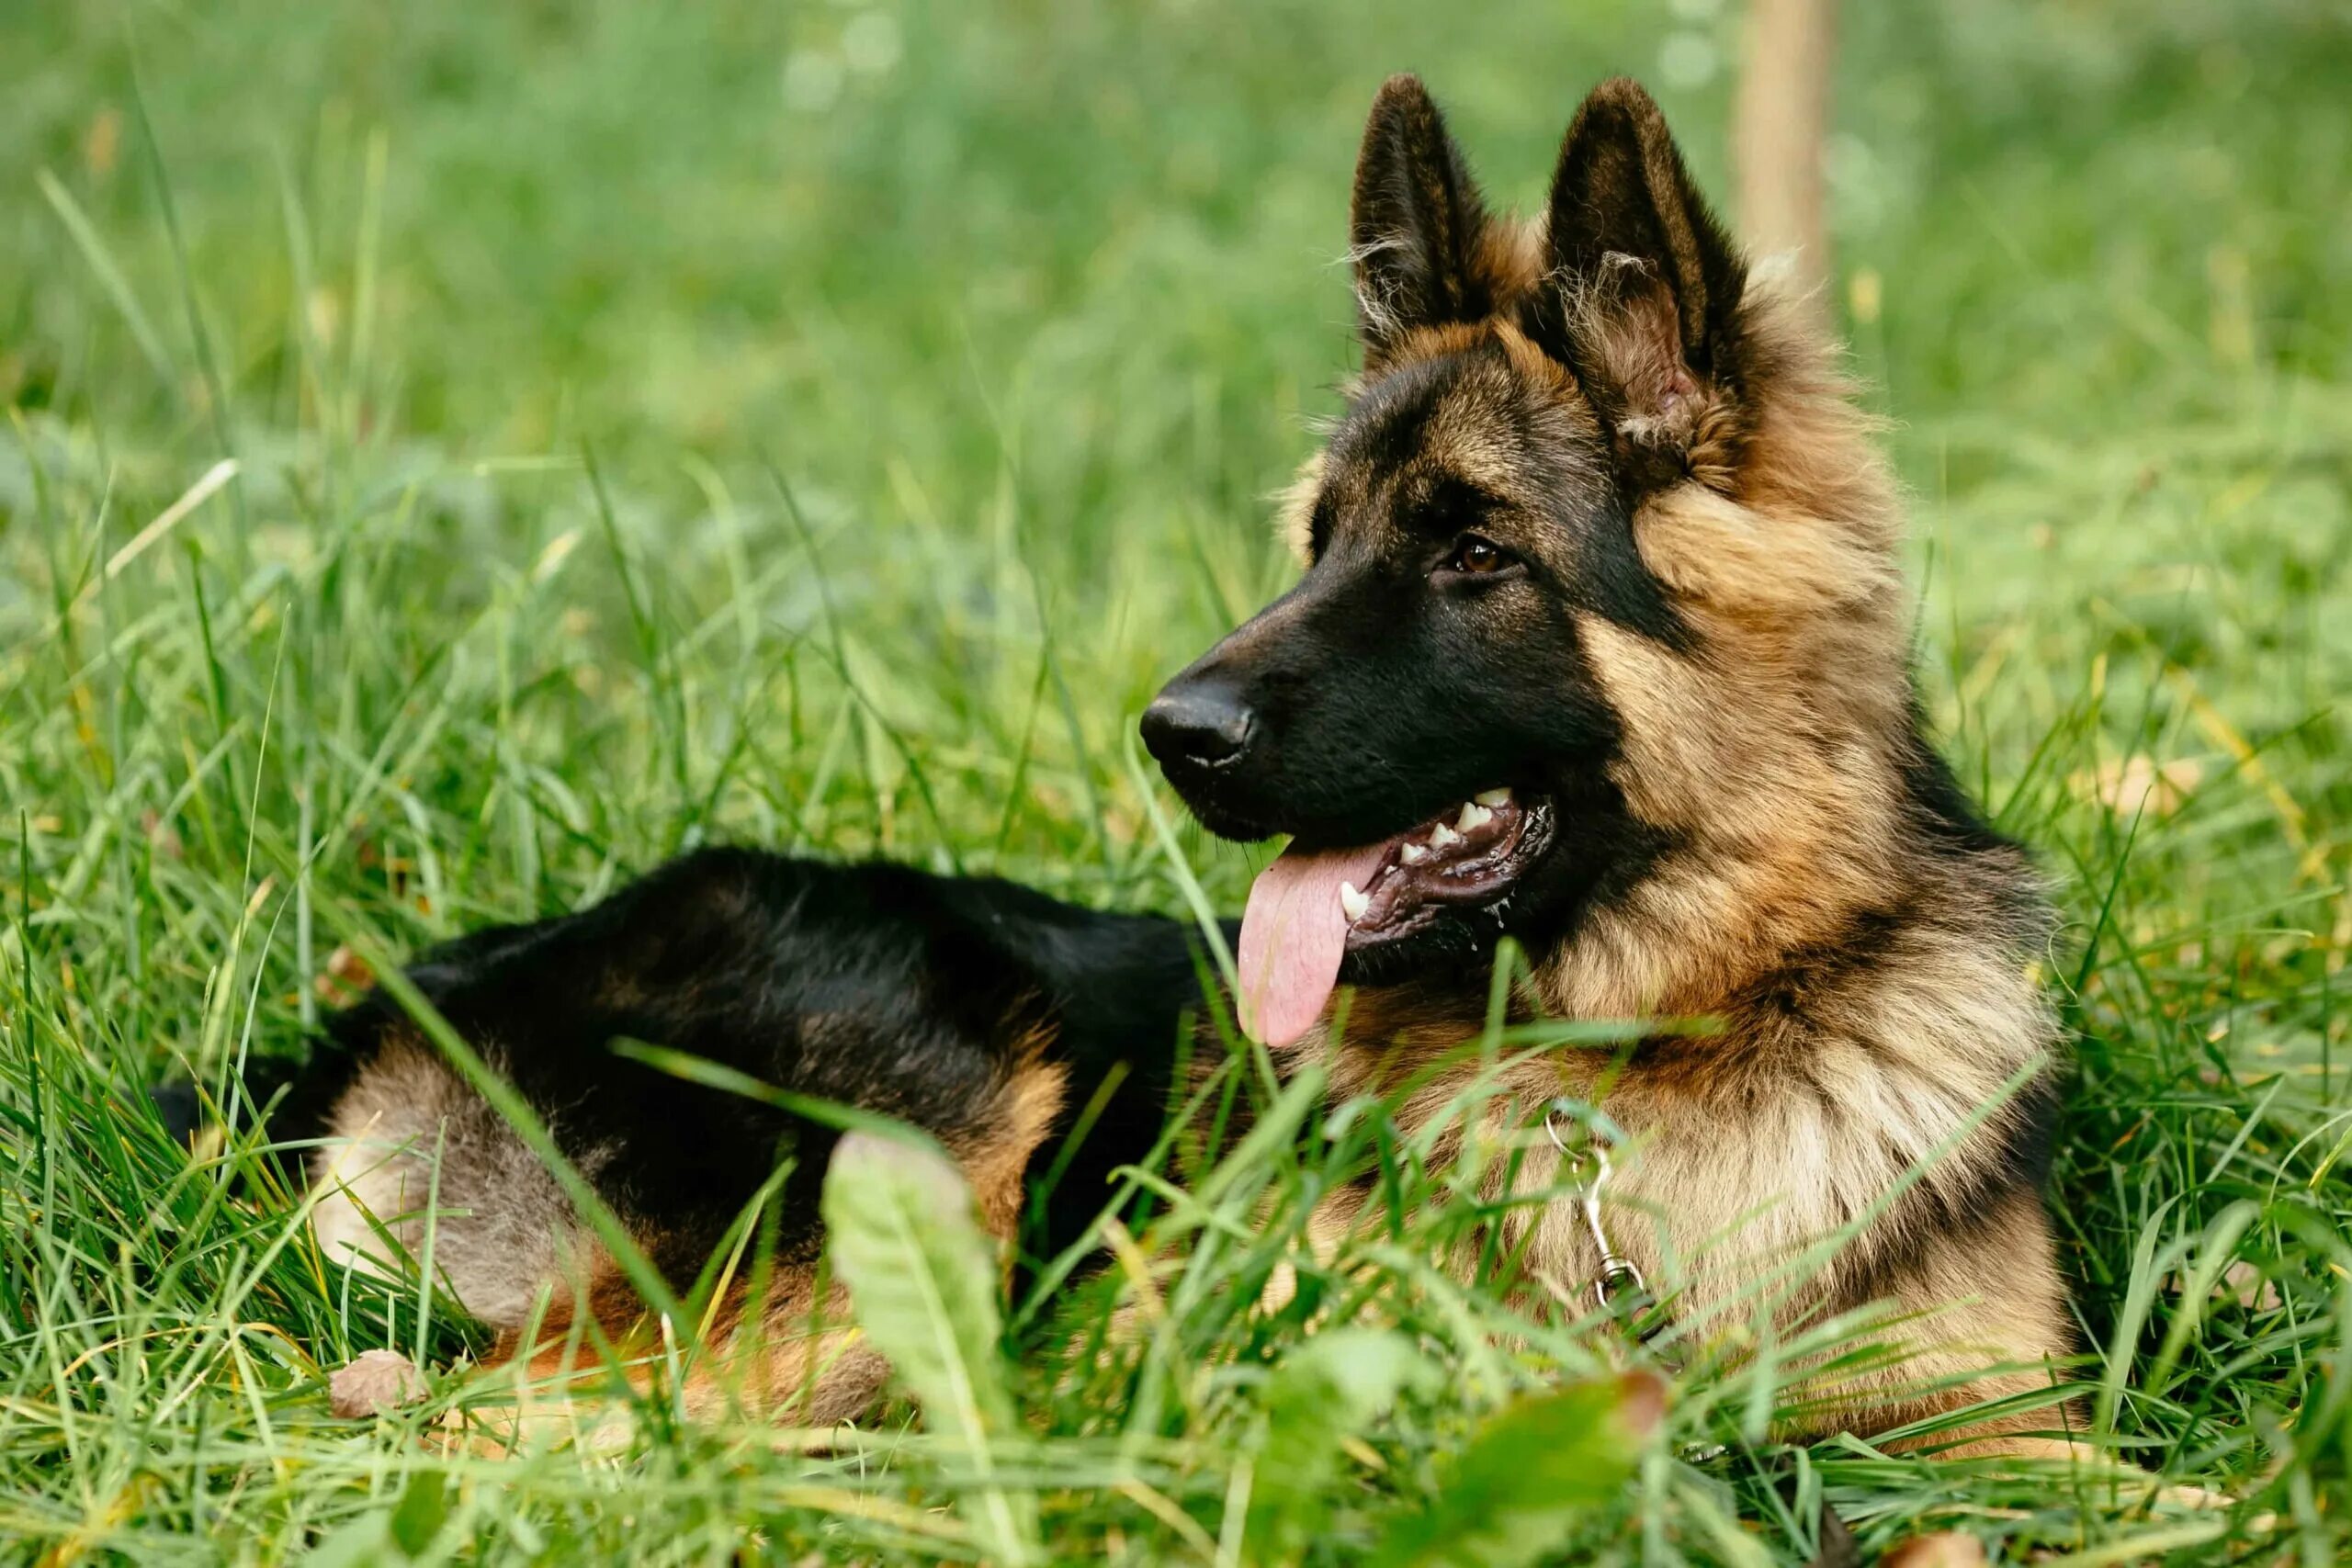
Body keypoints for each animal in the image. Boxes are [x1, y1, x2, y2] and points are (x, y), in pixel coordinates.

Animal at [248, 73, 2069, 1448]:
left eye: (1475, 553)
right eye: (1320, 543)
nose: (1172, 734)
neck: (1637, 1055)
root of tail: (399, 1002)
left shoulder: (2010, 1432)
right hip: (919, 1149)